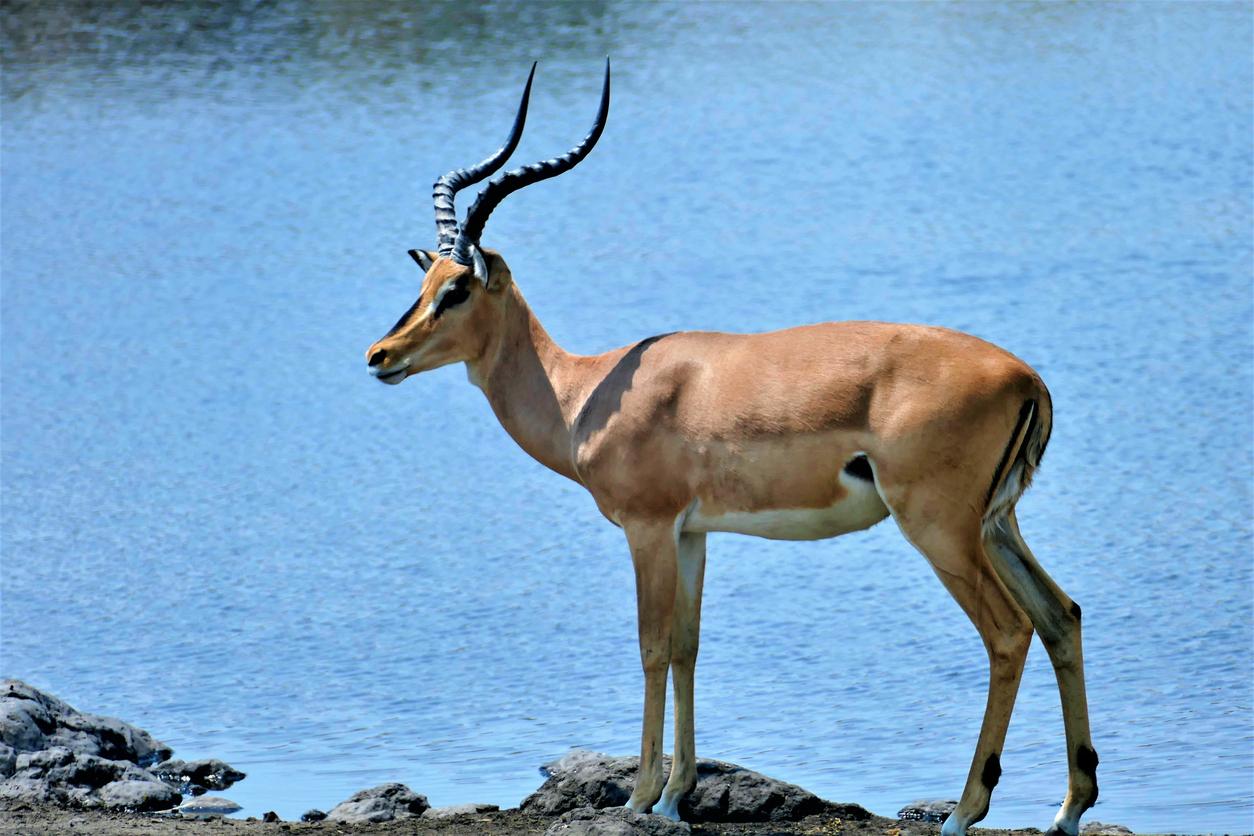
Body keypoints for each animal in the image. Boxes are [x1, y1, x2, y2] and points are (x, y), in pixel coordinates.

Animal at [365, 61, 1098, 836]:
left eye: (458, 289)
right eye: (423, 282)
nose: (380, 355)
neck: (584, 393)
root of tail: (1027, 377)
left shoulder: (648, 528)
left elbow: (653, 646)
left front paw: (639, 797)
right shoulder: (694, 533)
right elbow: (689, 645)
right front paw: (675, 796)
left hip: (939, 529)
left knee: (1008, 632)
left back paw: (963, 811)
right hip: (995, 524)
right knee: (1061, 616)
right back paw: (1068, 809)